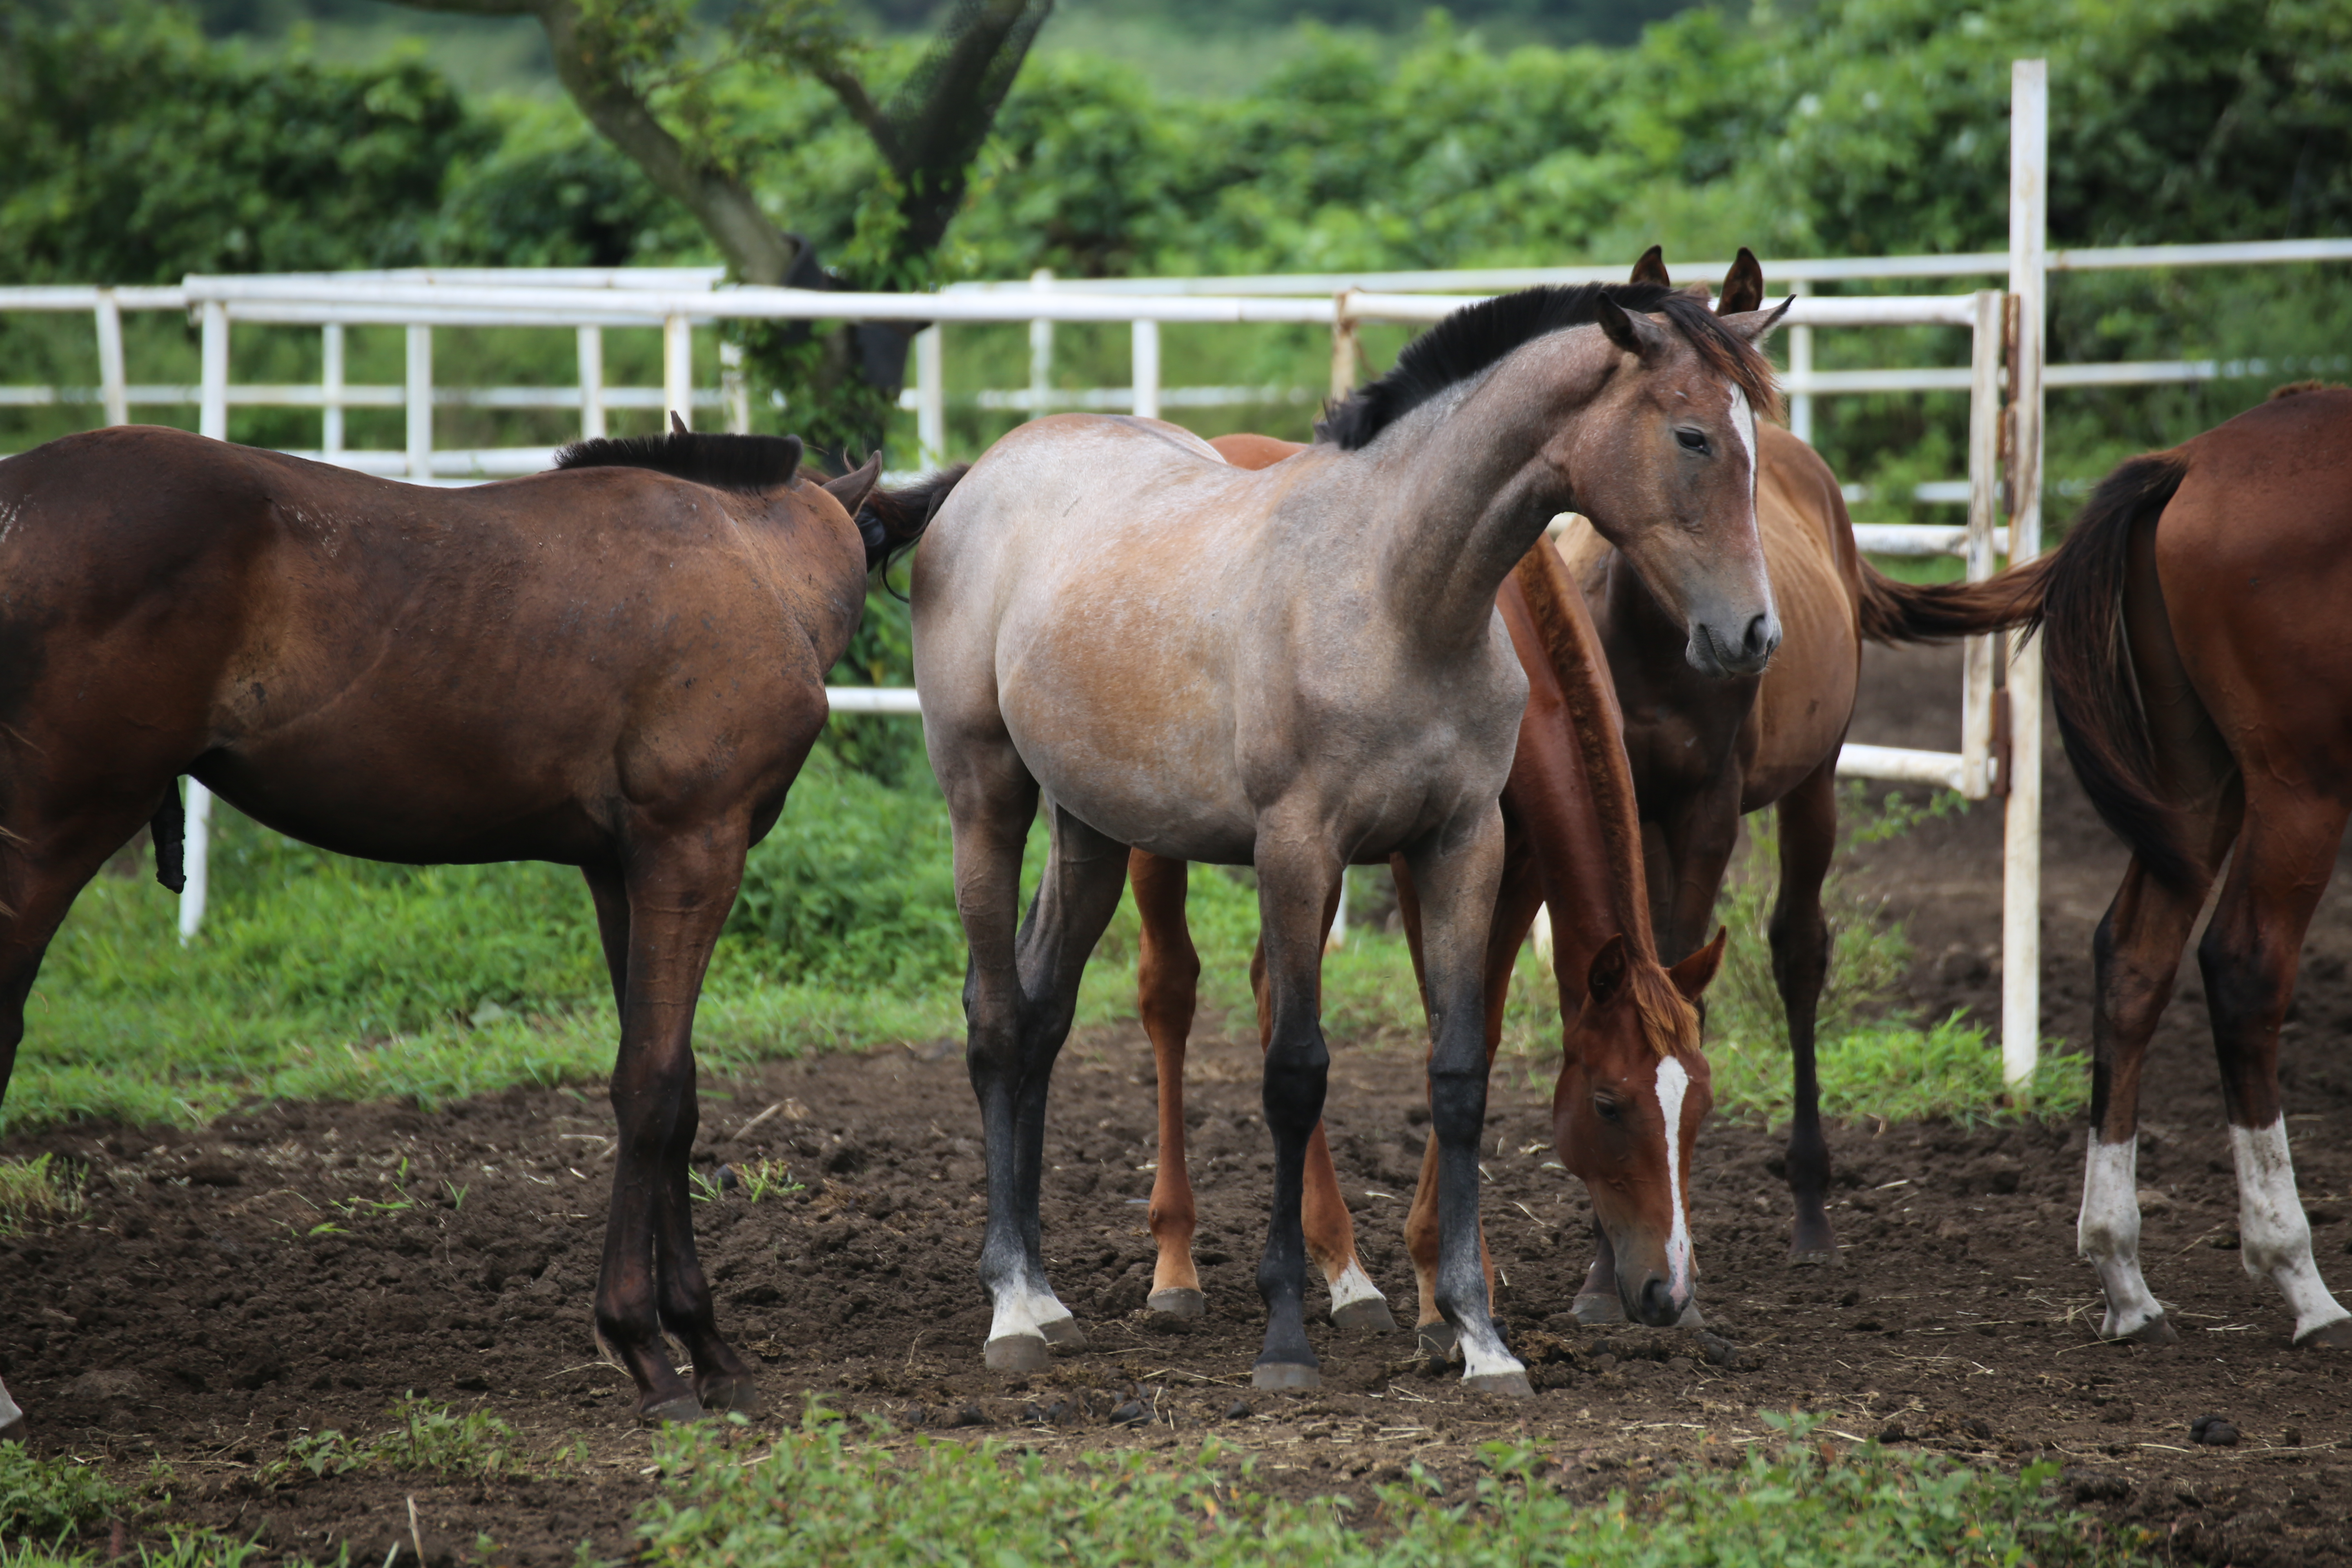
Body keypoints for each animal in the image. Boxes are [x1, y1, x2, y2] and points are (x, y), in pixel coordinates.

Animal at [0, 421, 898, 1439]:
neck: (752, 563)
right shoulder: (693, 851)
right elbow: (654, 1090)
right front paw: (649, 1347)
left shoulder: (621, 872)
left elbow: (676, 1090)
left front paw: (704, 1345)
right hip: (56, 831)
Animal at [1138, 423, 1731, 1354]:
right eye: (1608, 1105)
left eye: (1699, 1106)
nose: (1667, 1292)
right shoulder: (1425, 861)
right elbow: (1442, 1021)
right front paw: (1439, 1279)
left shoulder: (1513, 868)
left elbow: (1474, 1032)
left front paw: (1450, 1276)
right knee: (1170, 992)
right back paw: (1178, 1264)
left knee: (1273, 992)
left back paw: (1343, 1270)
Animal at [1872, 381, 2352, 1354]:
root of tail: (2190, 463)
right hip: (2298, 787)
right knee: (2244, 967)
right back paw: (2300, 1279)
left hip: (2197, 787)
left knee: (2135, 960)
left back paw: (2123, 1272)